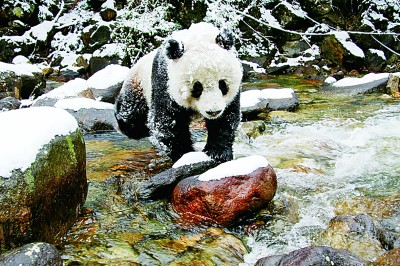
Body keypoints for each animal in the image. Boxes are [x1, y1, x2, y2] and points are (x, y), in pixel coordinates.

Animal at [114, 22, 242, 162]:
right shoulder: (165, 81)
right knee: (130, 113)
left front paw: (218, 152)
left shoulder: (230, 97)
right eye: (197, 87)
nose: (213, 111)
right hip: (138, 84)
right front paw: (185, 154)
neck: (198, 37)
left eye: (222, 84)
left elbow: (226, 118)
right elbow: (167, 122)